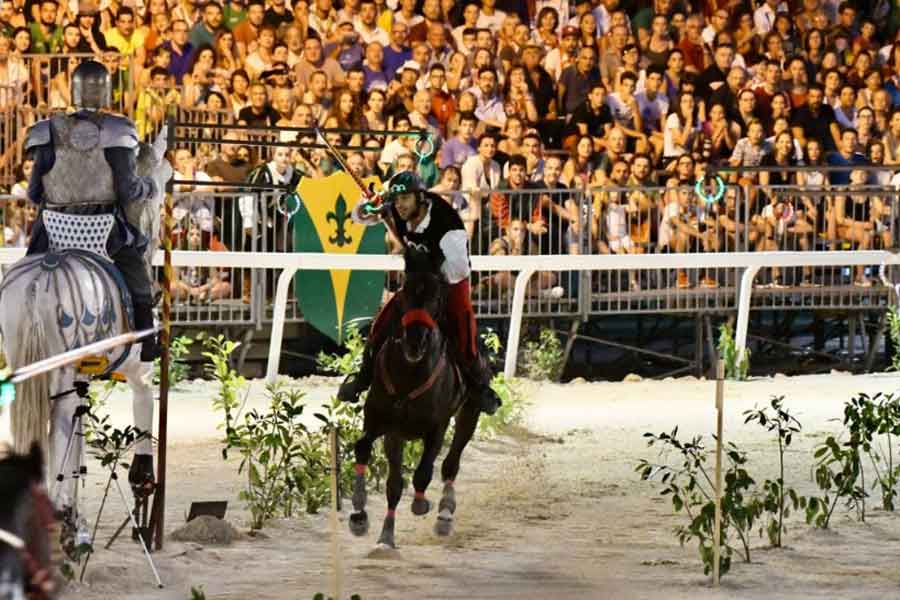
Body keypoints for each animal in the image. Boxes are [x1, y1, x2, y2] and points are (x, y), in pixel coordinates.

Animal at [0, 129, 171, 508]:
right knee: (59, 427)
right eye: (165, 176)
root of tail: (39, 281)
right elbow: (142, 415)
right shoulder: (139, 373)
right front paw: (142, 481)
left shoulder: (82, 379)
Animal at [348, 248, 486, 548]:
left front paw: (423, 504)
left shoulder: (437, 427)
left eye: (436, 298)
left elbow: (424, 471)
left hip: (470, 410)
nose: (415, 341)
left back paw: (445, 513)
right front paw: (360, 515)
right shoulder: (382, 423)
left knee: (451, 463)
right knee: (396, 482)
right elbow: (365, 450)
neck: (408, 376)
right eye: (405, 293)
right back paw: (387, 533)